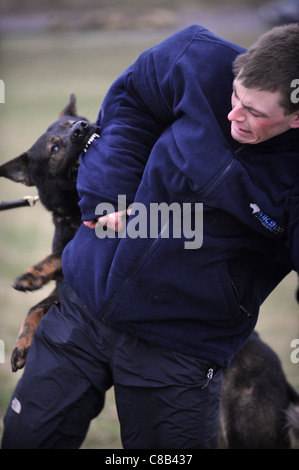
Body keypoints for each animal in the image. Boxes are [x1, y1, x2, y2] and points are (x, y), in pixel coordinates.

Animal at [0, 94, 299, 448]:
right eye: (55, 147)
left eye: (74, 122)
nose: (83, 127)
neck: (73, 208)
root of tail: (282, 379)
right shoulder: (66, 282)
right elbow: (41, 296)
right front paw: (23, 337)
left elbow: (56, 266)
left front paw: (31, 281)